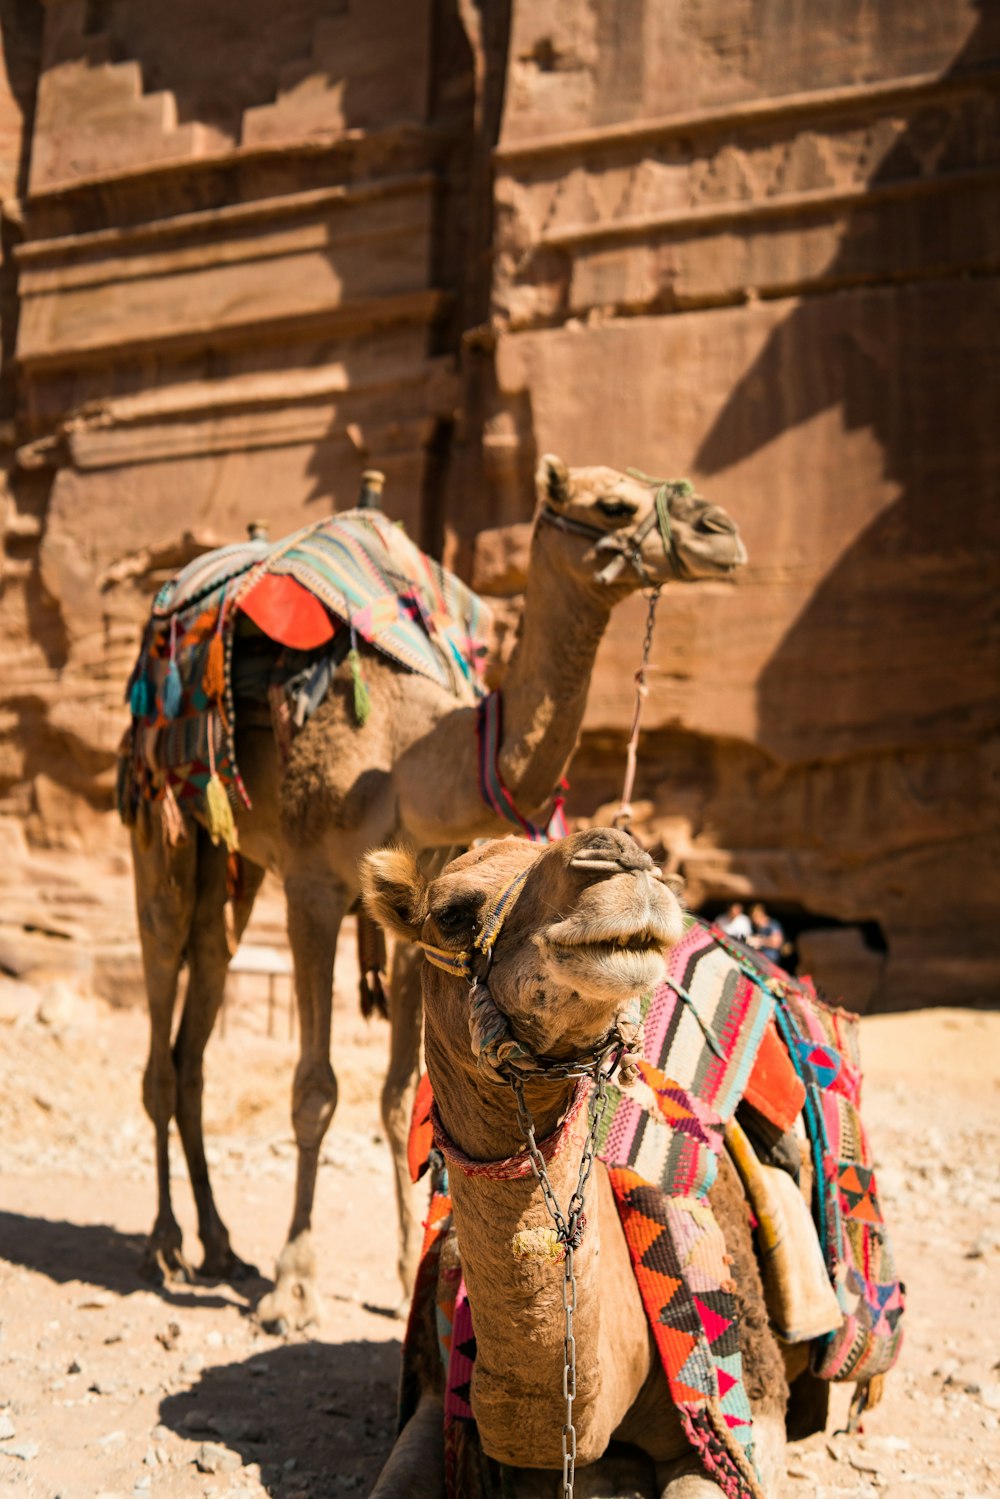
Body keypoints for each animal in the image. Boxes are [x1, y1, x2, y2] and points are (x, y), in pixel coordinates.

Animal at [128, 449, 746, 1331]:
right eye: (612, 502)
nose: (720, 531)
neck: (411, 758)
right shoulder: (316, 883)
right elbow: (315, 1090)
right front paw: (294, 1286)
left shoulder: (413, 913)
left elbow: (396, 1095)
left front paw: (398, 1275)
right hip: (163, 823)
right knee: (163, 974)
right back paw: (167, 1242)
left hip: (231, 863)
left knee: (202, 1000)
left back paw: (217, 1242)